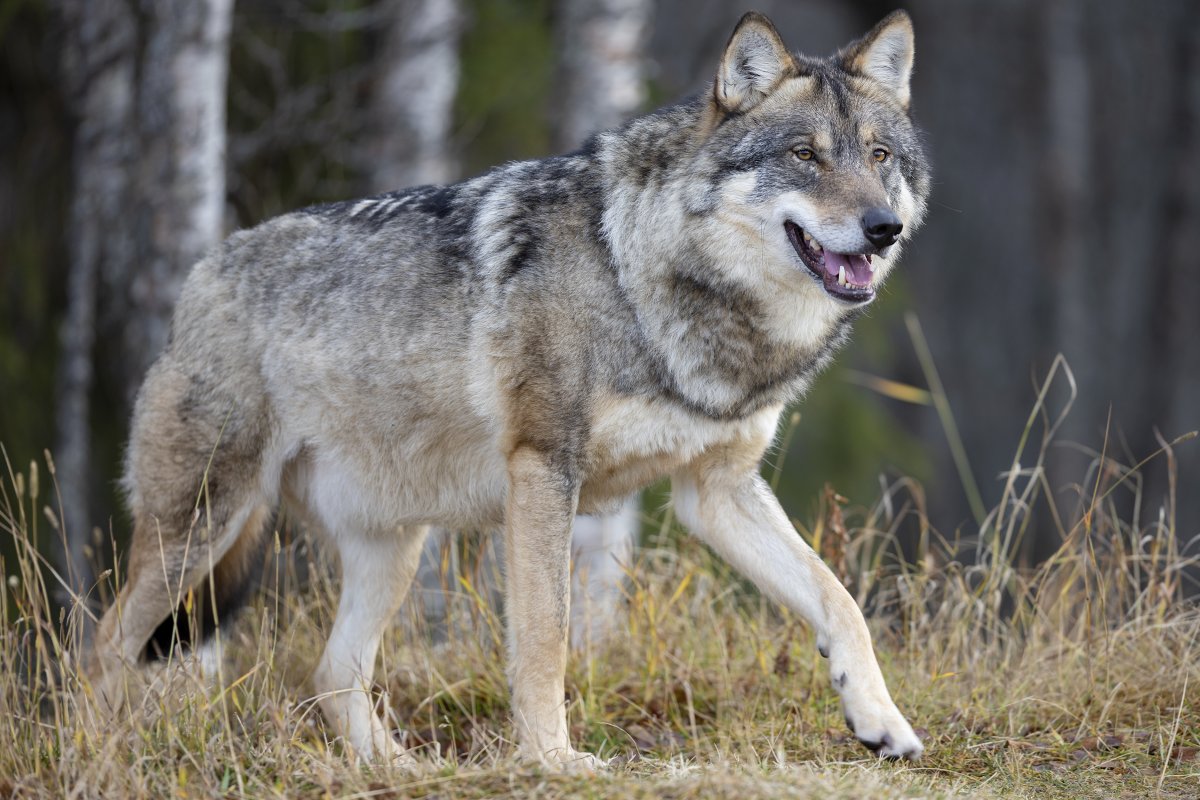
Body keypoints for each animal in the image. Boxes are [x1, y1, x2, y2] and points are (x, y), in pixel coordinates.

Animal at [88, 7, 931, 767]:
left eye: (880, 155)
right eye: (805, 155)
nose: (883, 227)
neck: (646, 274)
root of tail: (204, 269)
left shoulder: (716, 489)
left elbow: (839, 600)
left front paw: (882, 722)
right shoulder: (544, 468)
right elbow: (547, 635)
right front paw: (553, 760)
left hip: (390, 546)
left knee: (332, 671)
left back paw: (400, 771)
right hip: (203, 527)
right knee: (103, 642)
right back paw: (100, 753)